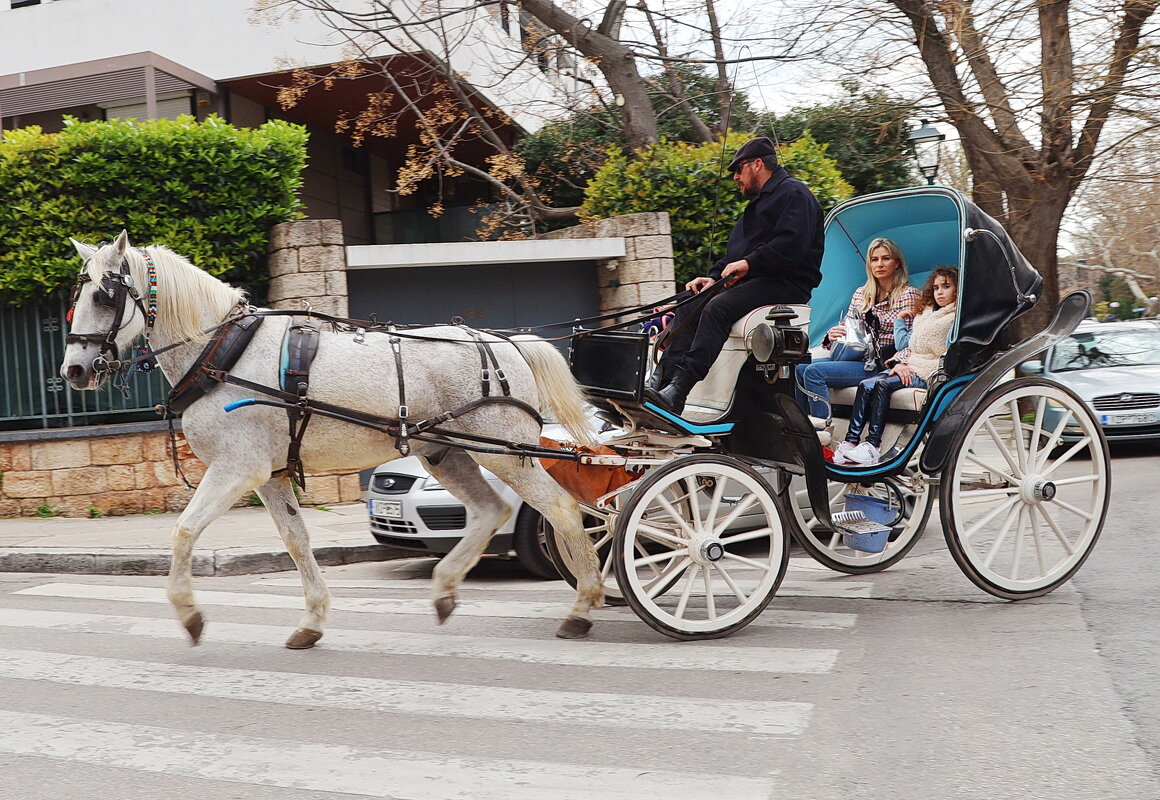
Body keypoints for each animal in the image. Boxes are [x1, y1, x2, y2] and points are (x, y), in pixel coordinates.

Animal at [61, 230, 607, 649]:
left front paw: (189, 614)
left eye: (104, 296)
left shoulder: (237, 468)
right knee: (491, 510)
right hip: (446, 453)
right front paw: (312, 619)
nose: (74, 370)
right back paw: (446, 591)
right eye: (75, 298)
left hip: (506, 453)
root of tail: (508, 342)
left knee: (560, 509)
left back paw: (584, 605)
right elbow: (296, 541)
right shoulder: (270, 474)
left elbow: (184, 530)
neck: (221, 350)